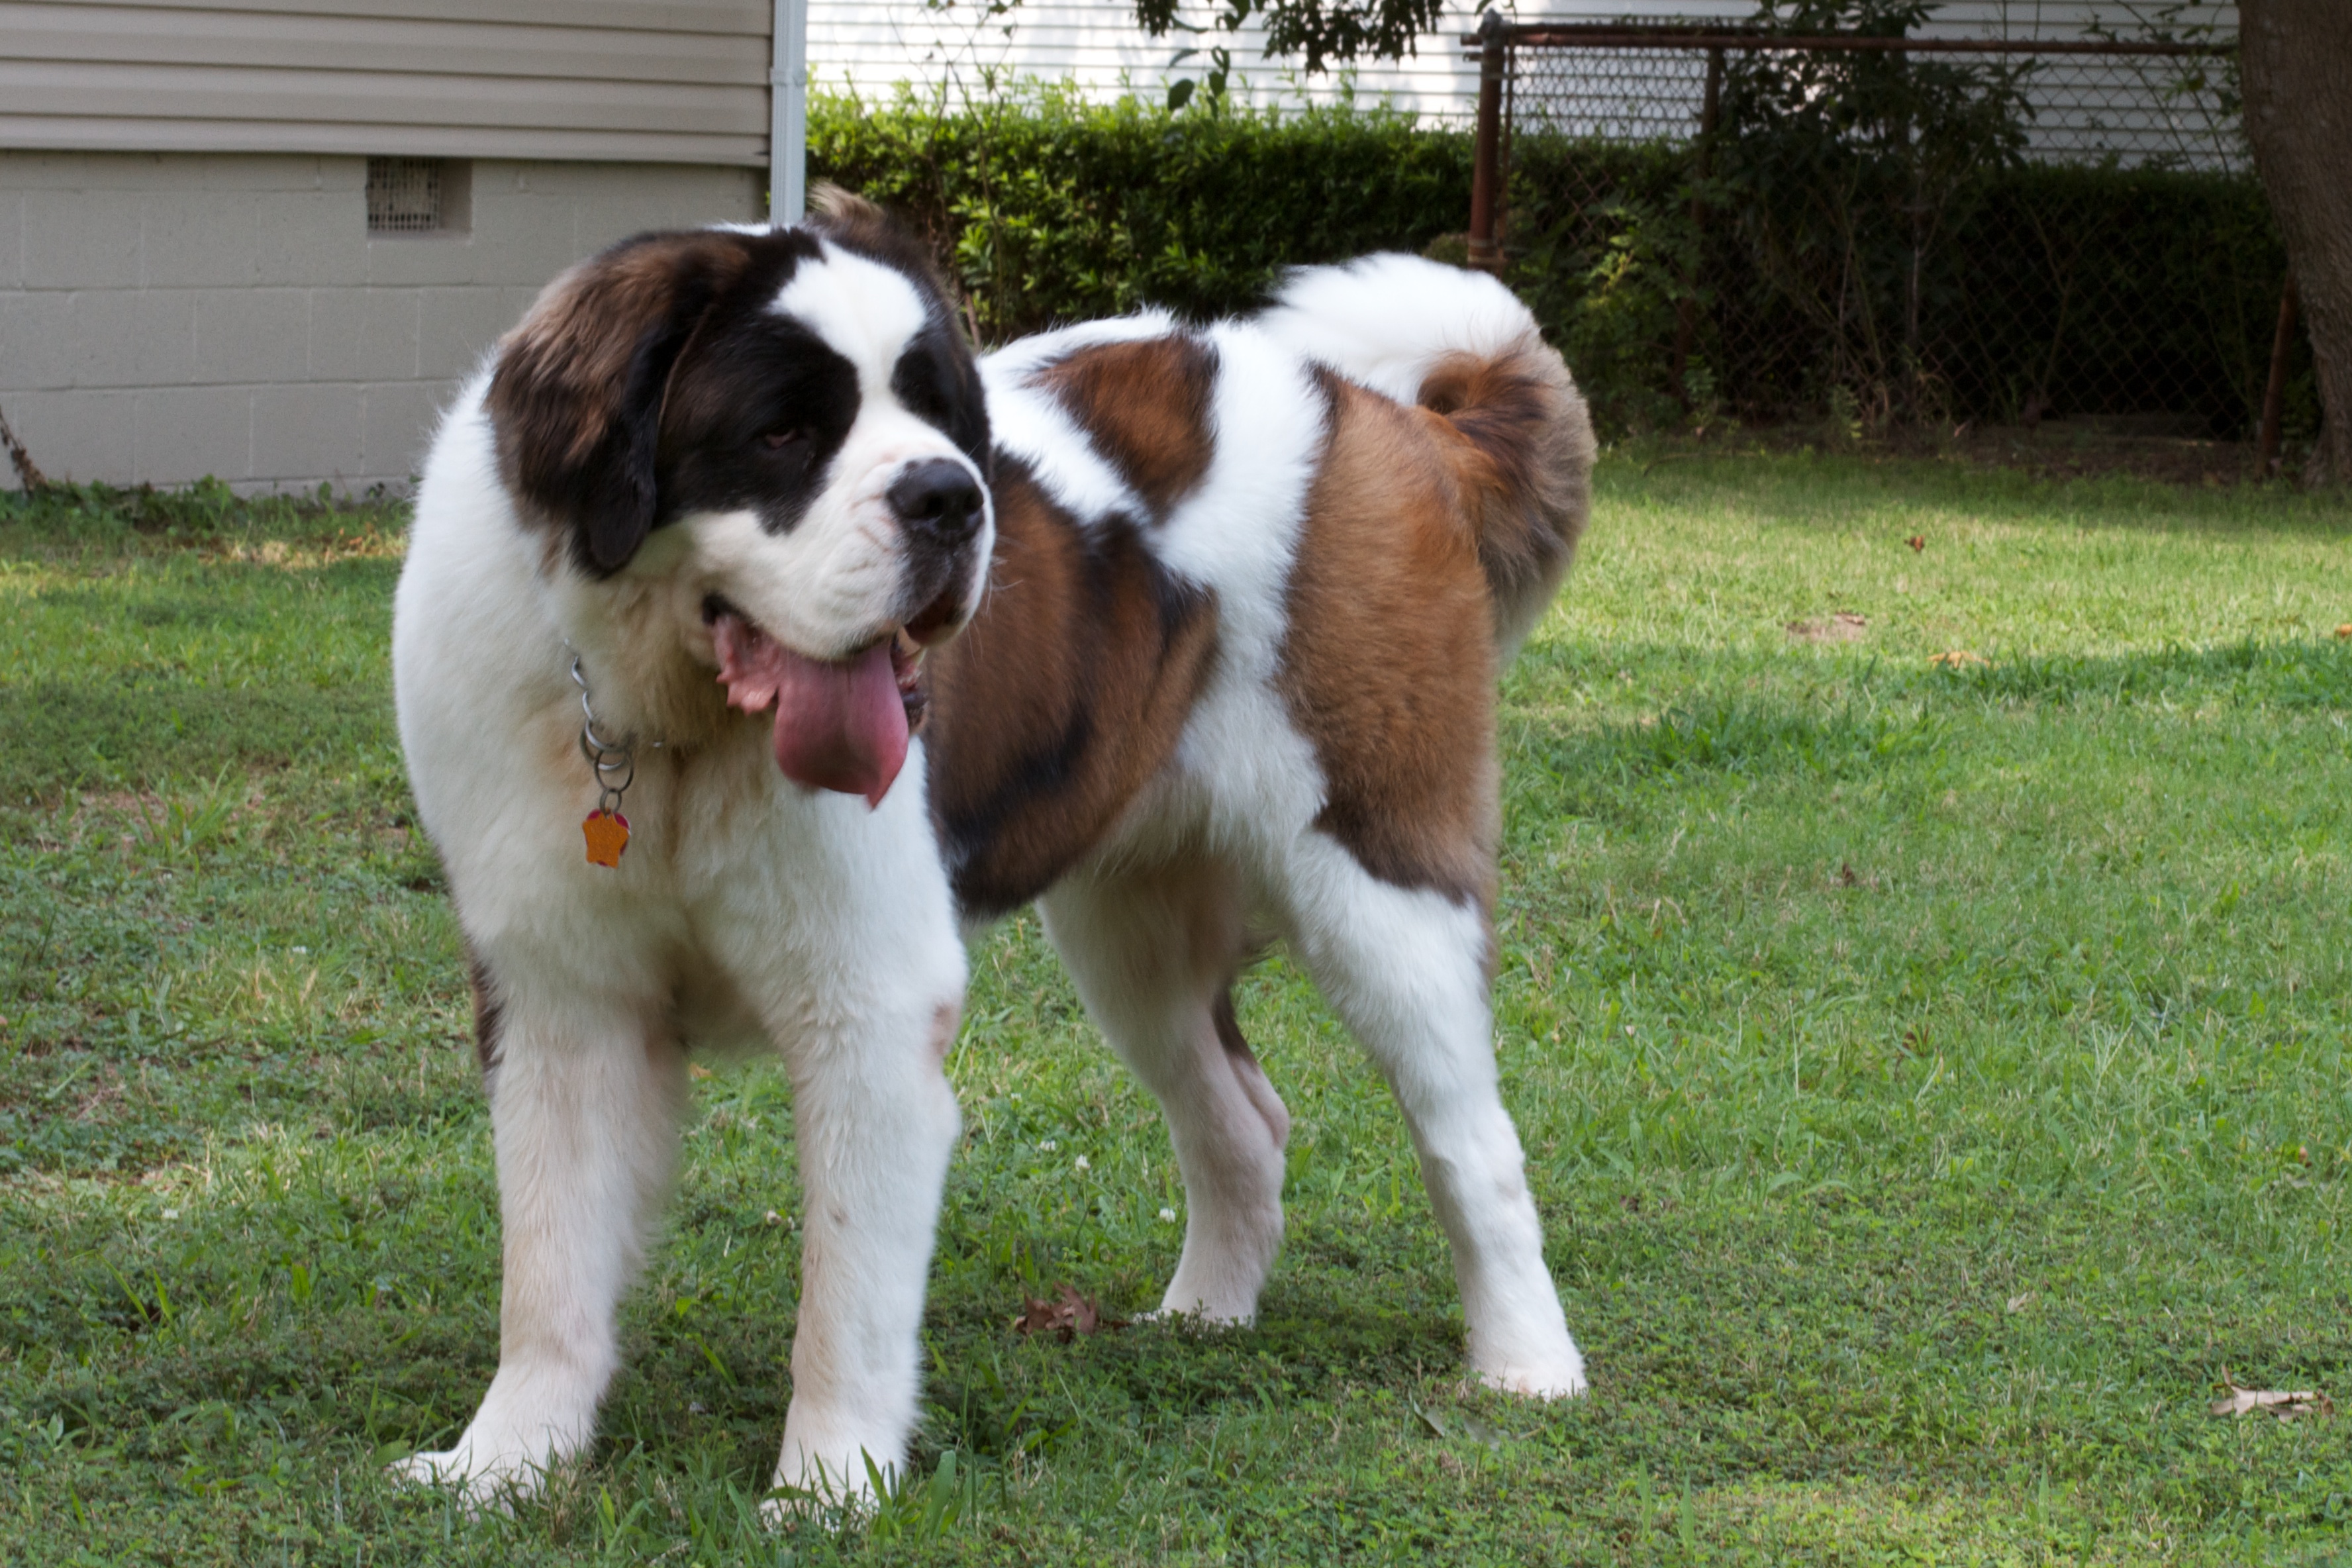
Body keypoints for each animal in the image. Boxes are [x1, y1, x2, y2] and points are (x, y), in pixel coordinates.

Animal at [395, 190, 1599, 1504]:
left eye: (938, 415)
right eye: (781, 431)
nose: (950, 498)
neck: (667, 730)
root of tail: (1378, 413)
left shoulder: (869, 1013)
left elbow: (847, 1292)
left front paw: (825, 1490)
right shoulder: (559, 1001)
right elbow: (549, 1265)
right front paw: (503, 1463)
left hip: (1382, 880)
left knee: (1471, 1140)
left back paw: (1528, 1365)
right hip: (1131, 936)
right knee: (1240, 1117)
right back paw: (1203, 1316)